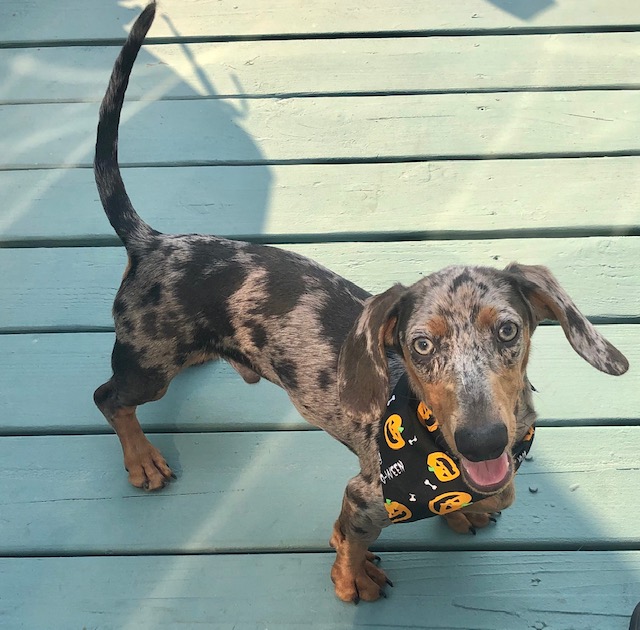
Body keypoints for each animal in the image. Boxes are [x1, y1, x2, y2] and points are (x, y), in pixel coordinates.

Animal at [93, 3, 629, 603]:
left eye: (509, 330)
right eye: (420, 346)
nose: (482, 441)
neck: (434, 452)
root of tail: (153, 242)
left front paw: (462, 511)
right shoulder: (365, 493)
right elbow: (350, 539)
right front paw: (353, 577)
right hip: (148, 368)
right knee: (109, 398)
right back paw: (142, 459)